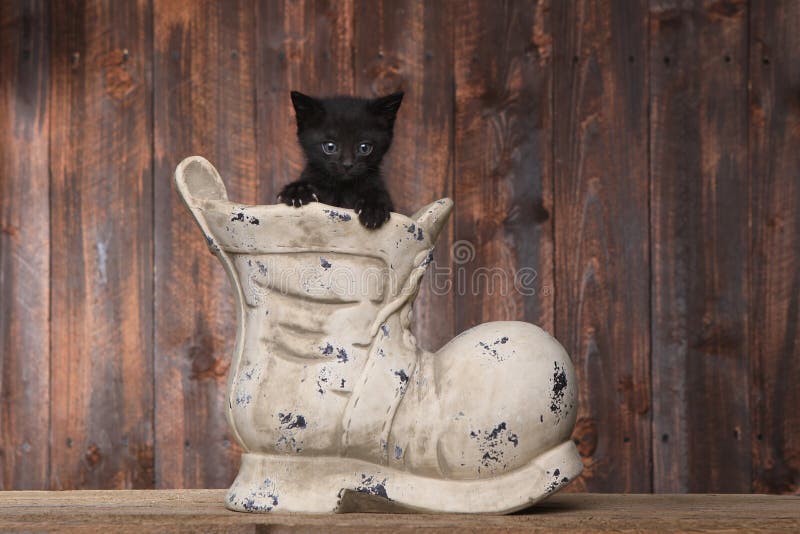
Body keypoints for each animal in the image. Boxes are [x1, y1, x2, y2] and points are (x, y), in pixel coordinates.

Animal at [278, 91, 404, 229]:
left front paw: (373, 207)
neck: (342, 188)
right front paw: (297, 190)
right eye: (330, 147)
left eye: (364, 148)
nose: (347, 165)